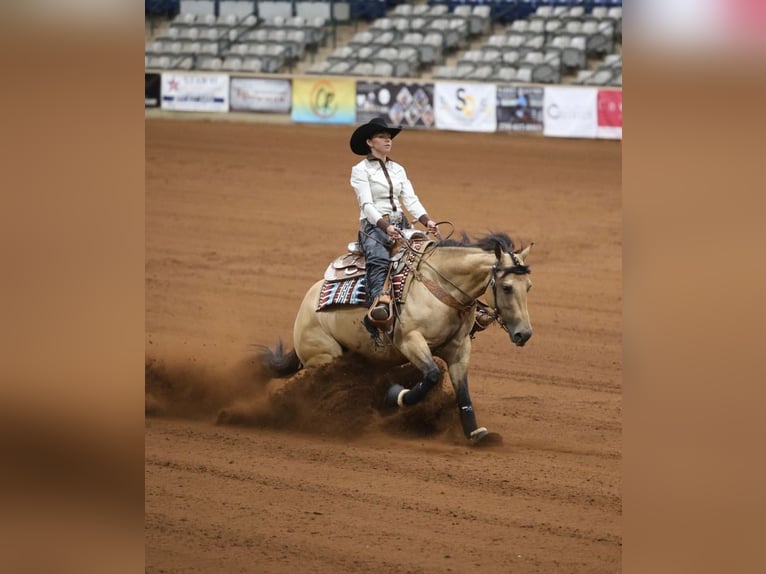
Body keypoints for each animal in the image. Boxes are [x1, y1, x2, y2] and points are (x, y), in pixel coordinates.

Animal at [260, 232, 533, 445]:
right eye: (507, 287)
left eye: (528, 286)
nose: (525, 333)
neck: (439, 286)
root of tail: (304, 310)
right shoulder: (409, 341)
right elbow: (431, 376)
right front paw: (395, 395)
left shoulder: (459, 348)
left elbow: (463, 390)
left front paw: (475, 433)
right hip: (324, 357)